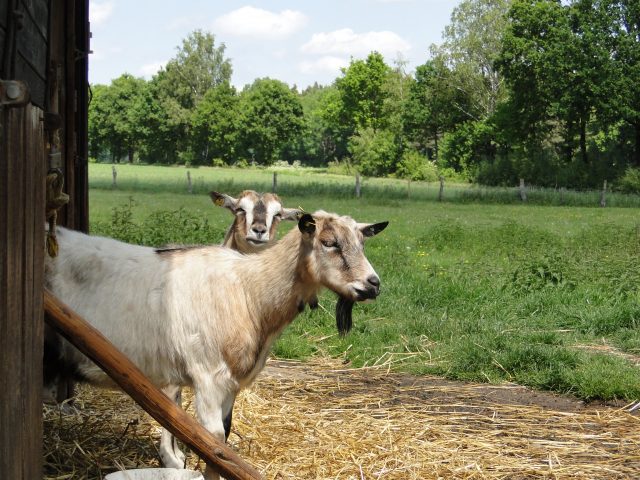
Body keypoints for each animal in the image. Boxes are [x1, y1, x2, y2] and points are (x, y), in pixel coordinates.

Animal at [45, 210, 388, 480]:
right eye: (329, 243)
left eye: (362, 243)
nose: (373, 284)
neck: (249, 293)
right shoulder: (208, 378)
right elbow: (213, 444)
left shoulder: (230, 385)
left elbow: (223, 436)